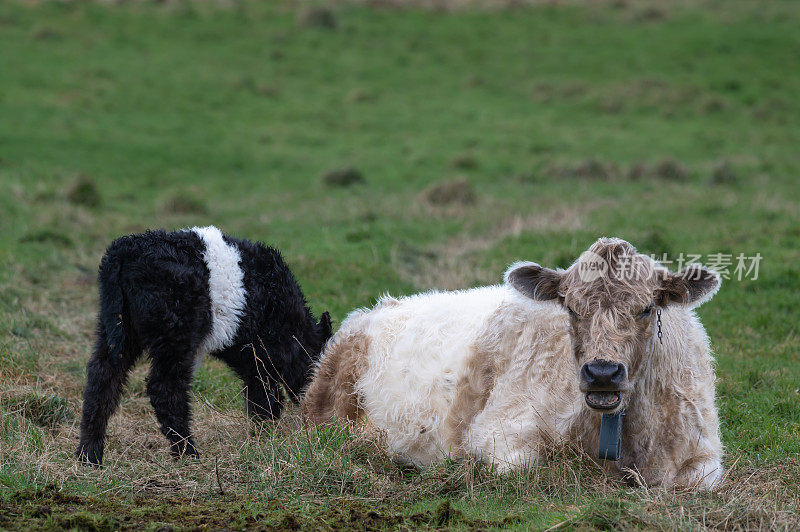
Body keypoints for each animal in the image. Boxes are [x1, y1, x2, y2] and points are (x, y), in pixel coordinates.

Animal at [76, 225, 332, 466]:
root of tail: (126, 249)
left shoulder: (251, 356)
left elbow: (261, 394)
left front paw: (262, 434)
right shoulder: (268, 349)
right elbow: (267, 392)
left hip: (117, 330)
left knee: (102, 379)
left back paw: (89, 455)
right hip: (176, 337)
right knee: (165, 388)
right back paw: (187, 452)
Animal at [304, 238, 724, 490]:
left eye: (646, 308)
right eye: (570, 308)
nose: (602, 372)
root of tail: (375, 309)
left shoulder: (703, 455)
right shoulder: (499, 430)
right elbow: (530, 471)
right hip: (329, 415)